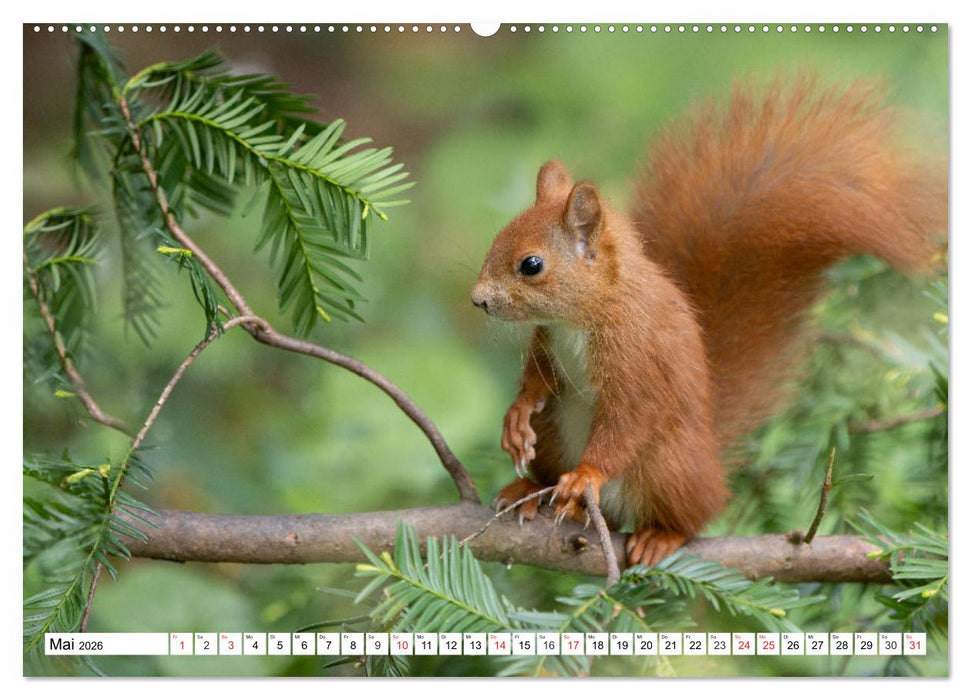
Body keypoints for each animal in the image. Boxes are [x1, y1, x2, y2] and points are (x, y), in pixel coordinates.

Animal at [470, 77, 946, 566]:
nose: (478, 300)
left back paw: (657, 534)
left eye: (531, 265)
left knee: (695, 514)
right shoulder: (548, 339)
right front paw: (516, 416)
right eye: (496, 239)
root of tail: (709, 458)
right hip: (555, 434)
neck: (582, 316)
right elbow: (538, 377)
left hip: (668, 465)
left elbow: (629, 418)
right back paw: (529, 490)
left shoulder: (636, 355)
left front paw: (587, 474)